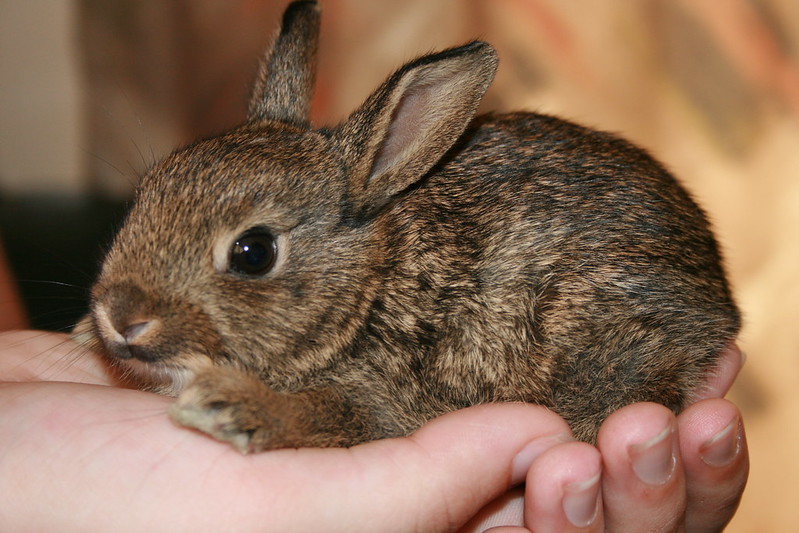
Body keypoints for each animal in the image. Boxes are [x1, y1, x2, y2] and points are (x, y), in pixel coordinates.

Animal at [77, 0, 740, 453]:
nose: (120, 318)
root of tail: (722, 297)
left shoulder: (380, 397)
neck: (364, 292)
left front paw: (230, 408)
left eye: (253, 252)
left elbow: (332, 414)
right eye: (149, 190)